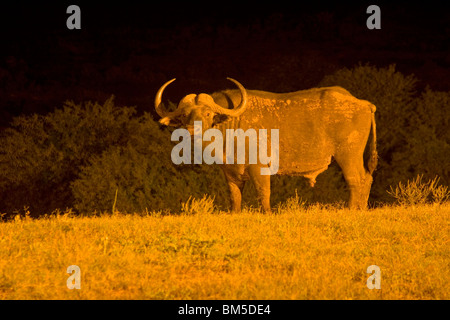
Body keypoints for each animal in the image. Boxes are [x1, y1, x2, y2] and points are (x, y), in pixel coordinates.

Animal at [155, 78, 376, 212]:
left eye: (208, 113)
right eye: (185, 115)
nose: (193, 130)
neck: (231, 125)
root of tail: (364, 104)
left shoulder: (259, 168)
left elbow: (263, 193)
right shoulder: (230, 172)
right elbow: (235, 197)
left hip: (348, 155)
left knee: (356, 180)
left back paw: (351, 209)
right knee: (367, 178)